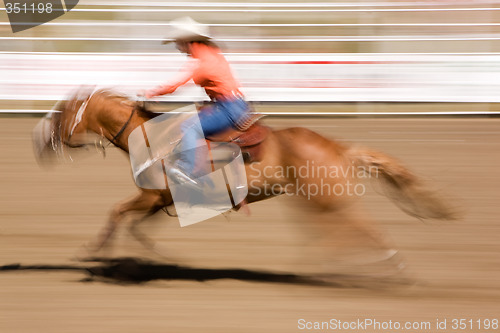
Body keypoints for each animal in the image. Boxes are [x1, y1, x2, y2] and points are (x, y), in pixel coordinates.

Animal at [32, 89, 458, 270]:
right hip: (311, 198)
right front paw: (152, 256)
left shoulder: (152, 196)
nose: (38, 143)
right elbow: (134, 224)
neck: (149, 135)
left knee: (359, 226)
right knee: (336, 230)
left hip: (323, 195)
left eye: (61, 113)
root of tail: (336, 144)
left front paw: (94, 252)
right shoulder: (162, 201)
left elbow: (117, 212)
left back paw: (385, 263)